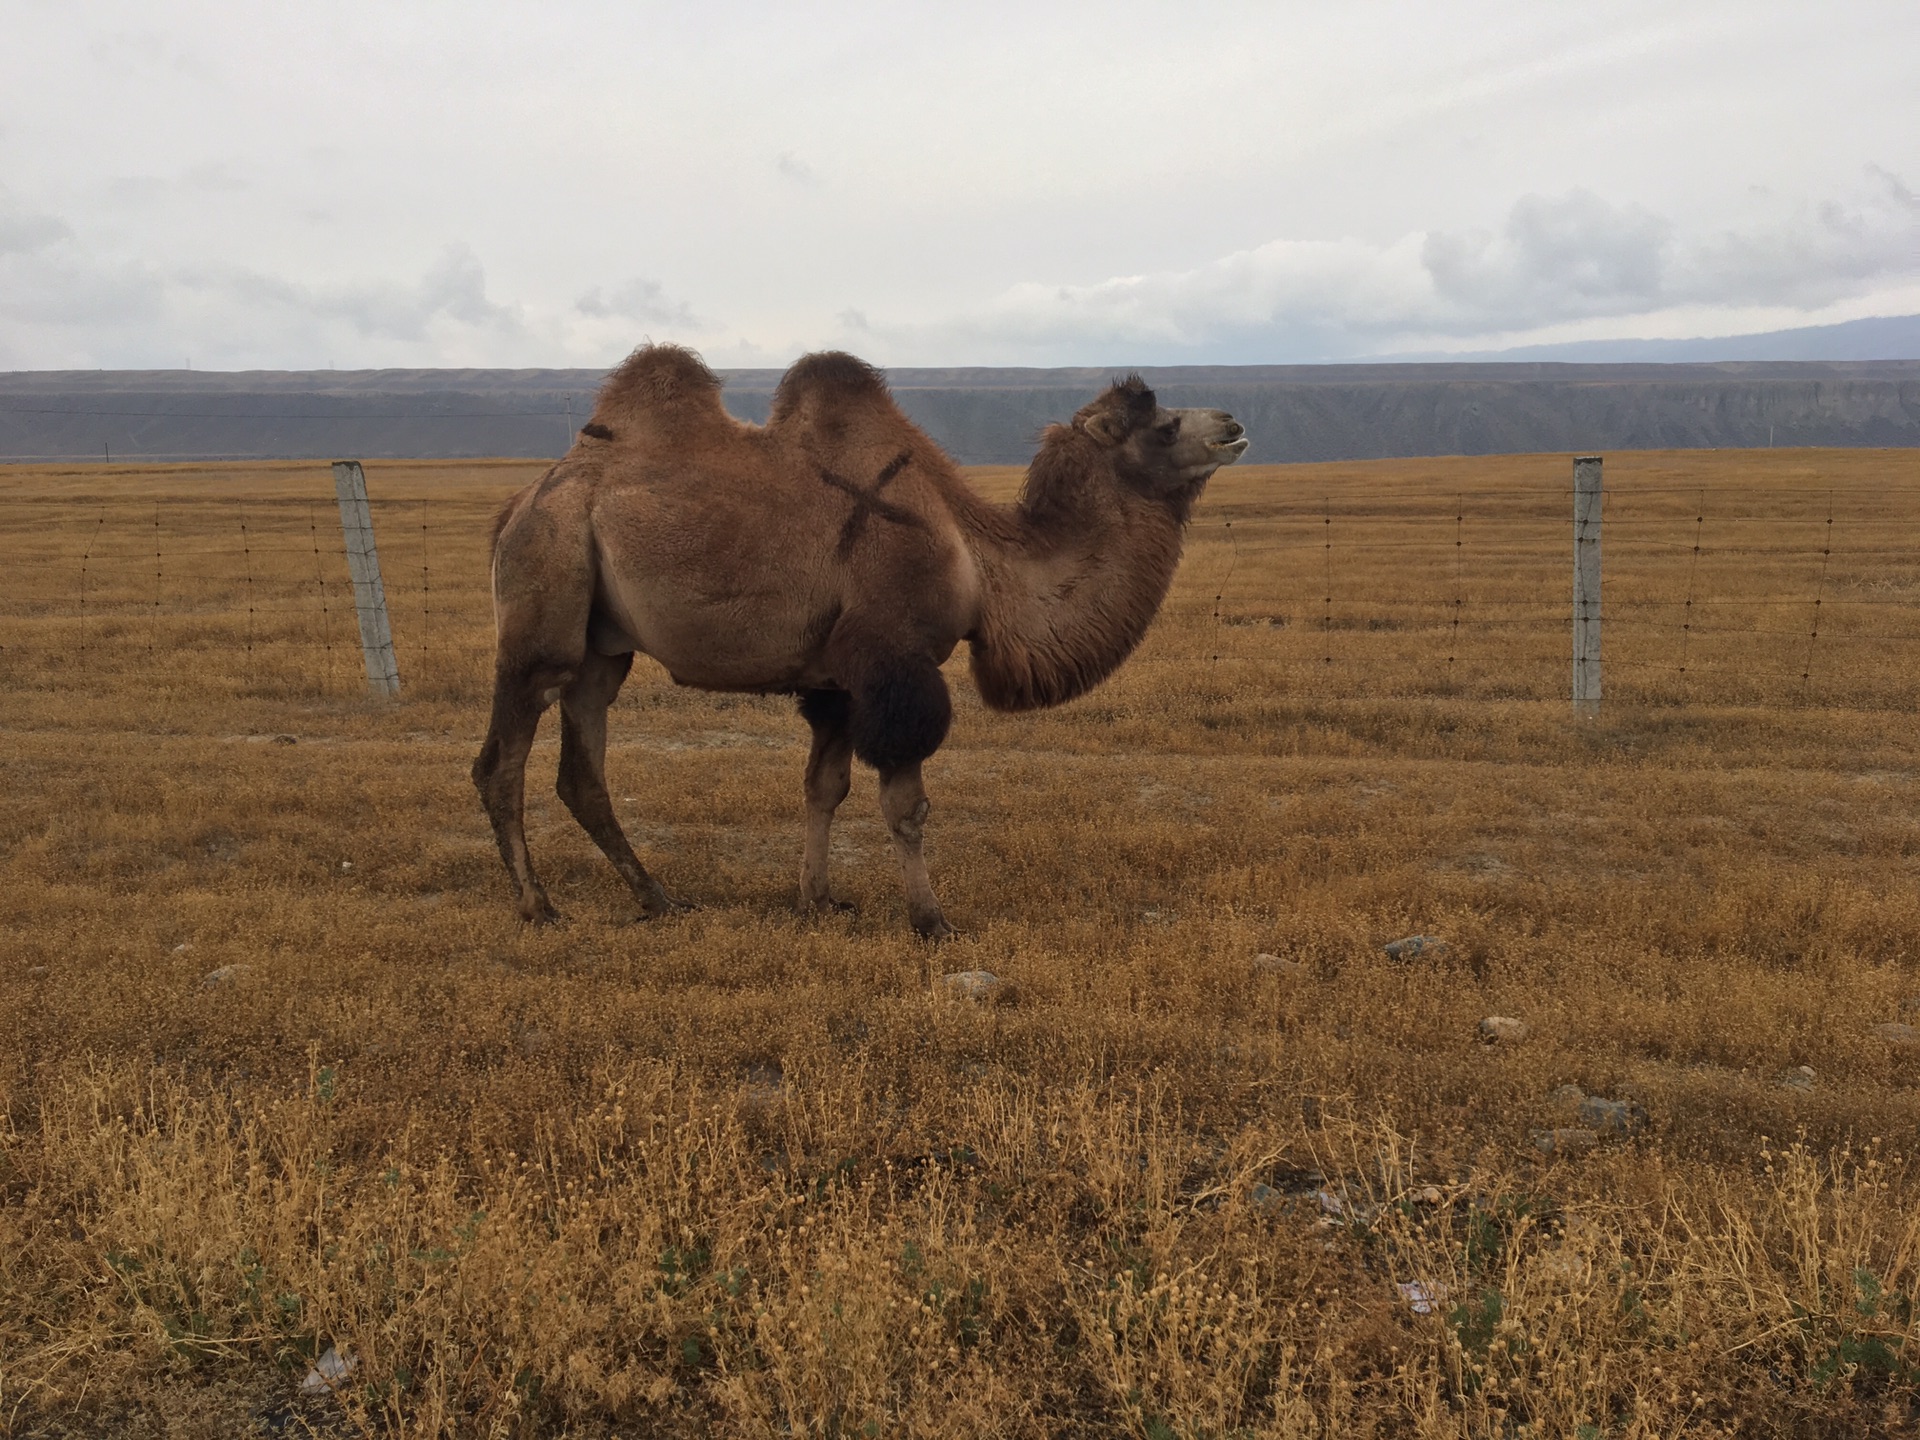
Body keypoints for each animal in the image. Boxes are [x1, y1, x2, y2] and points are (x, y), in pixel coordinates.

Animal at [474, 345, 1251, 940]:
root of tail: (519, 504)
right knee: (502, 760)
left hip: (602, 649)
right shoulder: (894, 661)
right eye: (1160, 425)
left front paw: (818, 901)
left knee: (583, 768)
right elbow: (905, 807)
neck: (978, 561)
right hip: (545, 594)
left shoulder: (839, 679)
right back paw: (539, 906)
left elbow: (825, 787)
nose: (1234, 423)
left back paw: (659, 899)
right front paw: (931, 921)